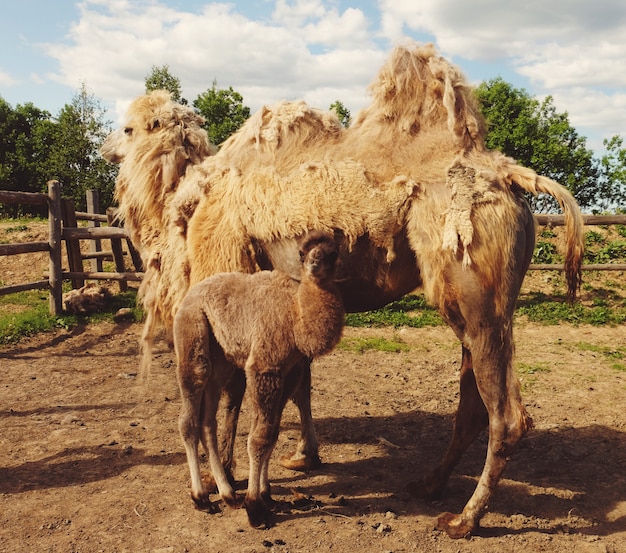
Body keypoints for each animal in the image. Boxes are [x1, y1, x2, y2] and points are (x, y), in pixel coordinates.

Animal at [173, 231, 344, 528]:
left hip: (221, 361)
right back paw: (201, 498)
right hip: (192, 337)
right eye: (302, 252)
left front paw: (266, 496)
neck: (296, 317)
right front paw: (255, 508)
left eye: (333, 253)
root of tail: (190, 294)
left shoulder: (290, 372)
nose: (314, 263)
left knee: (208, 421)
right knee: (189, 419)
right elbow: (259, 438)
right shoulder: (265, 368)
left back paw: (228, 495)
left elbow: (272, 435)